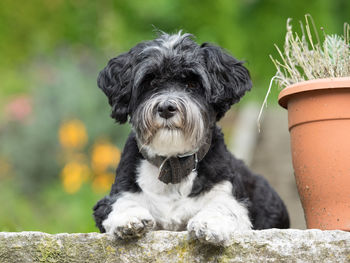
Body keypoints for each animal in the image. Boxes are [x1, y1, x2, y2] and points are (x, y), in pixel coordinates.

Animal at [93, 31, 290, 248]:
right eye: (151, 82)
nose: (166, 108)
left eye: (192, 83)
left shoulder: (230, 194)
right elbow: (121, 202)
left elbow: (223, 206)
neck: (173, 168)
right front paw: (129, 218)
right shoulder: (111, 199)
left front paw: (209, 223)